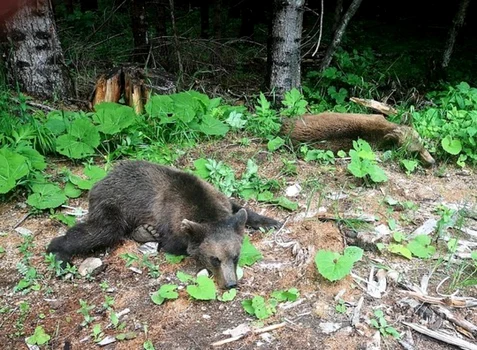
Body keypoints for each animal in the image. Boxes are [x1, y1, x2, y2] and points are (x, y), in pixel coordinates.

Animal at [46, 160, 280, 288]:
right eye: (215, 259)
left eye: (236, 256)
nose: (230, 283)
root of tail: (101, 180)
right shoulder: (173, 224)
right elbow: (175, 246)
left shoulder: (219, 199)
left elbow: (239, 208)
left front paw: (271, 221)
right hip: (114, 203)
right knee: (101, 230)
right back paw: (59, 254)